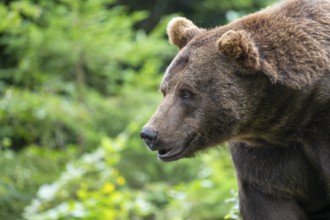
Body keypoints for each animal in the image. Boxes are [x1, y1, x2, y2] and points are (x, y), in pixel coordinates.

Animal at [140, 0, 330, 218]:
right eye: (164, 90)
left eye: (186, 92)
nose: (149, 134)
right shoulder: (264, 159)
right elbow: (269, 205)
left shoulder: (318, 131)